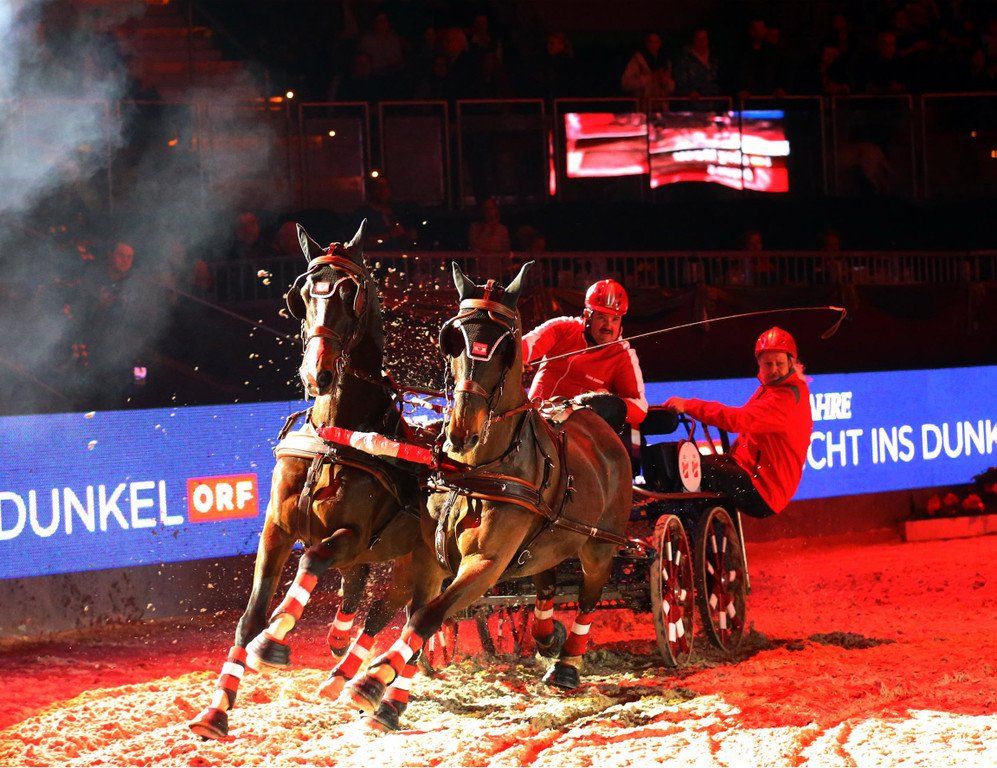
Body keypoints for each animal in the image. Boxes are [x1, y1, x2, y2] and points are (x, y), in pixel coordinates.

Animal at [189, 222, 427, 740]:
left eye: (351, 293)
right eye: (303, 293)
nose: (317, 373)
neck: (336, 436)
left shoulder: (352, 534)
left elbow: (313, 560)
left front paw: (274, 641)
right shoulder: (276, 529)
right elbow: (250, 616)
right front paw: (217, 709)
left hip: (418, 562)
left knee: (394, 612)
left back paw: (368, 685)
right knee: (363, 599)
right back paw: (342, 663)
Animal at [340, 260, 634, 724]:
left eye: (505, 345)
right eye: (453, 339)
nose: (463, 428)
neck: (475, 470)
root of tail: (596, 422)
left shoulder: (485, 564)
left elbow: (428, 617)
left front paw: (372, 681)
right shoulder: (430, 556)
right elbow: (418, 615)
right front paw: (392, 699)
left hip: (601, 544)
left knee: (590, 595)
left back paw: (567, 666)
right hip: (547, 541)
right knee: (546, 582)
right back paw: (547, 635)